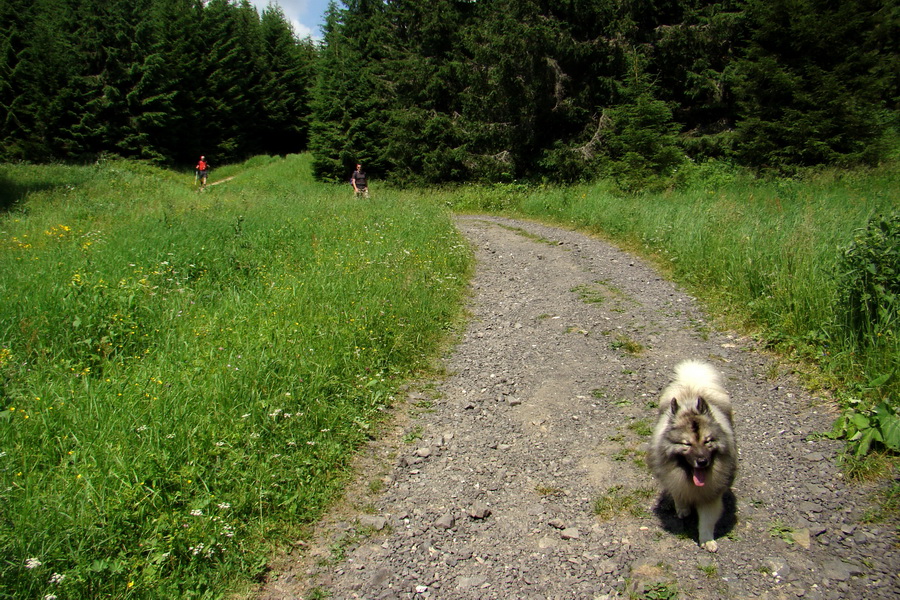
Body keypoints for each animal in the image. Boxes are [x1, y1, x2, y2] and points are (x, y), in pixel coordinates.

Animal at [648, 358, 740, 552]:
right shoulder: (674, 479)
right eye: (687, 444)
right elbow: (678, 494)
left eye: (708, 441)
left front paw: (707, 541)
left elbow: (706, 520)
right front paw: (682, 508)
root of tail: (693, 385)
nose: (702, 461)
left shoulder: (711, 494)